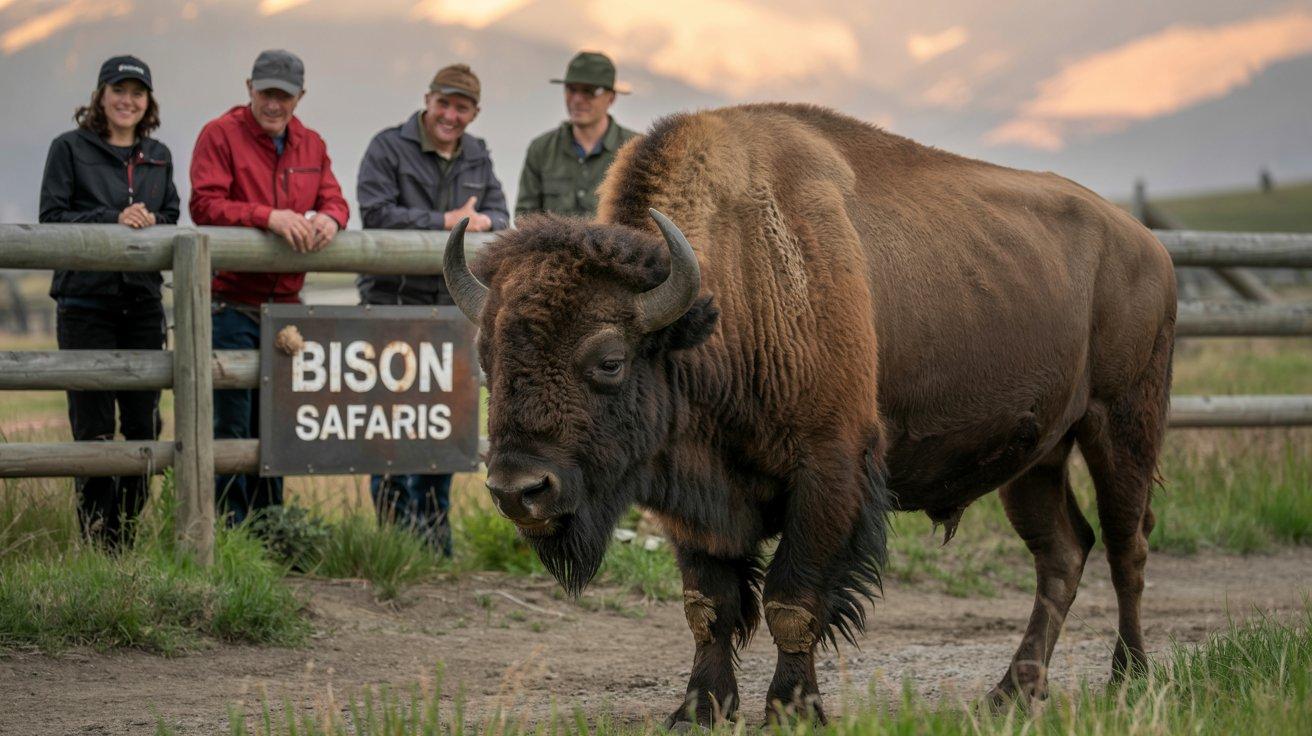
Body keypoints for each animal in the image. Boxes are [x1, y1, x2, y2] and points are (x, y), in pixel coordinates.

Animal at [444, 103, 1176, 726]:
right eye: (487, 356)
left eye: (609, 360)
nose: (519, 490)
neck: (732, 291)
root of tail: (1147, 245)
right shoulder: (695, 498)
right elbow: (709, 605)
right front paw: (698, 708)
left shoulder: (827, 473)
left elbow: (792, 601)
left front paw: (793, 709)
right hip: (1035, 459)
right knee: (1062, 553)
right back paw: (1012, 692)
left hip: (1121, 425)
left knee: (1126, 546)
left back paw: (1128, 679)